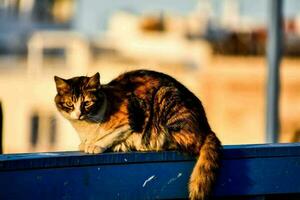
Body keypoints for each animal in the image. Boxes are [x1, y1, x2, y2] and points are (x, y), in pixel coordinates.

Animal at [54, 69, 221, 199]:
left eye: (87, 103)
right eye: (69, 104)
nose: (79, 114)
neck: (86, 127)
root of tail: (206, 126)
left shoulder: (132, 117)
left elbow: (112, 134)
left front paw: (96, 145)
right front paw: (86, 144)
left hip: (165, 100)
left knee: (188, 142)